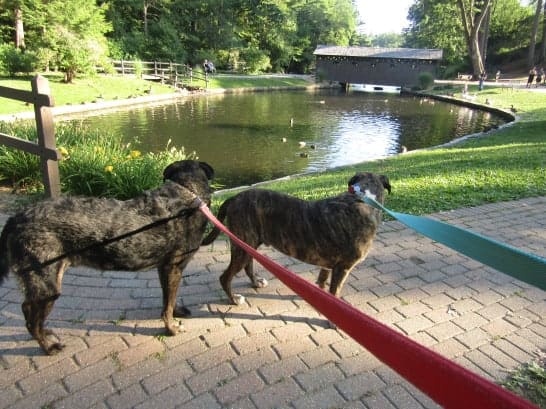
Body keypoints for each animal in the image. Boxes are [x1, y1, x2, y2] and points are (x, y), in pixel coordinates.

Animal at [0, 160, 212, 354]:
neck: (187, 192)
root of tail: (15, 219)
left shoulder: (165, 269)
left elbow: (169, 298)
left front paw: (176, 312)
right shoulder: (173, 267)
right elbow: (168, 304)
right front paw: (171, 328)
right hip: (47, 284)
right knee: (31, 318)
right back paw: (48, 346)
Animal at [202, 171, 388, 302]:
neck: (362, 200)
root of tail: (234, 197)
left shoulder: (329, 265)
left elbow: (322, 281)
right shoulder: (342, 268)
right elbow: (335, 291)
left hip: (247, 245)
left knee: (248, 265)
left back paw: (255, 282)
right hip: (242, 246)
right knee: (225, 277)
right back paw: (234, 299)